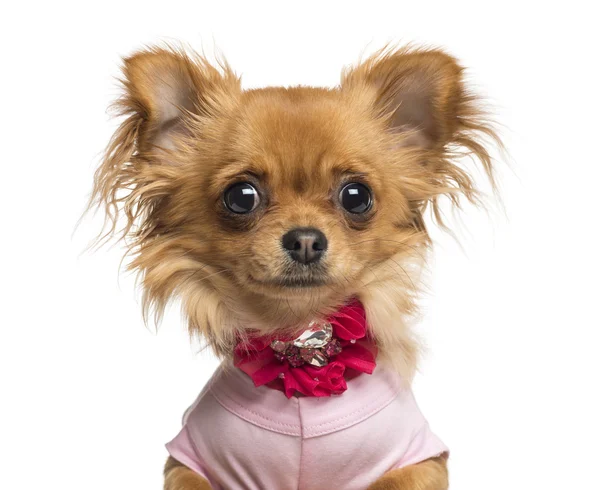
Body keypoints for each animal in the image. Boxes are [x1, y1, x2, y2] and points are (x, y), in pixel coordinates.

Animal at [90, 44, 502, 488]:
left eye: (356, 196)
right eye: (241, 196)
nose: (305, 239)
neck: (300, 335)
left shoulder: (421, 458)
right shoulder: (189, 460)